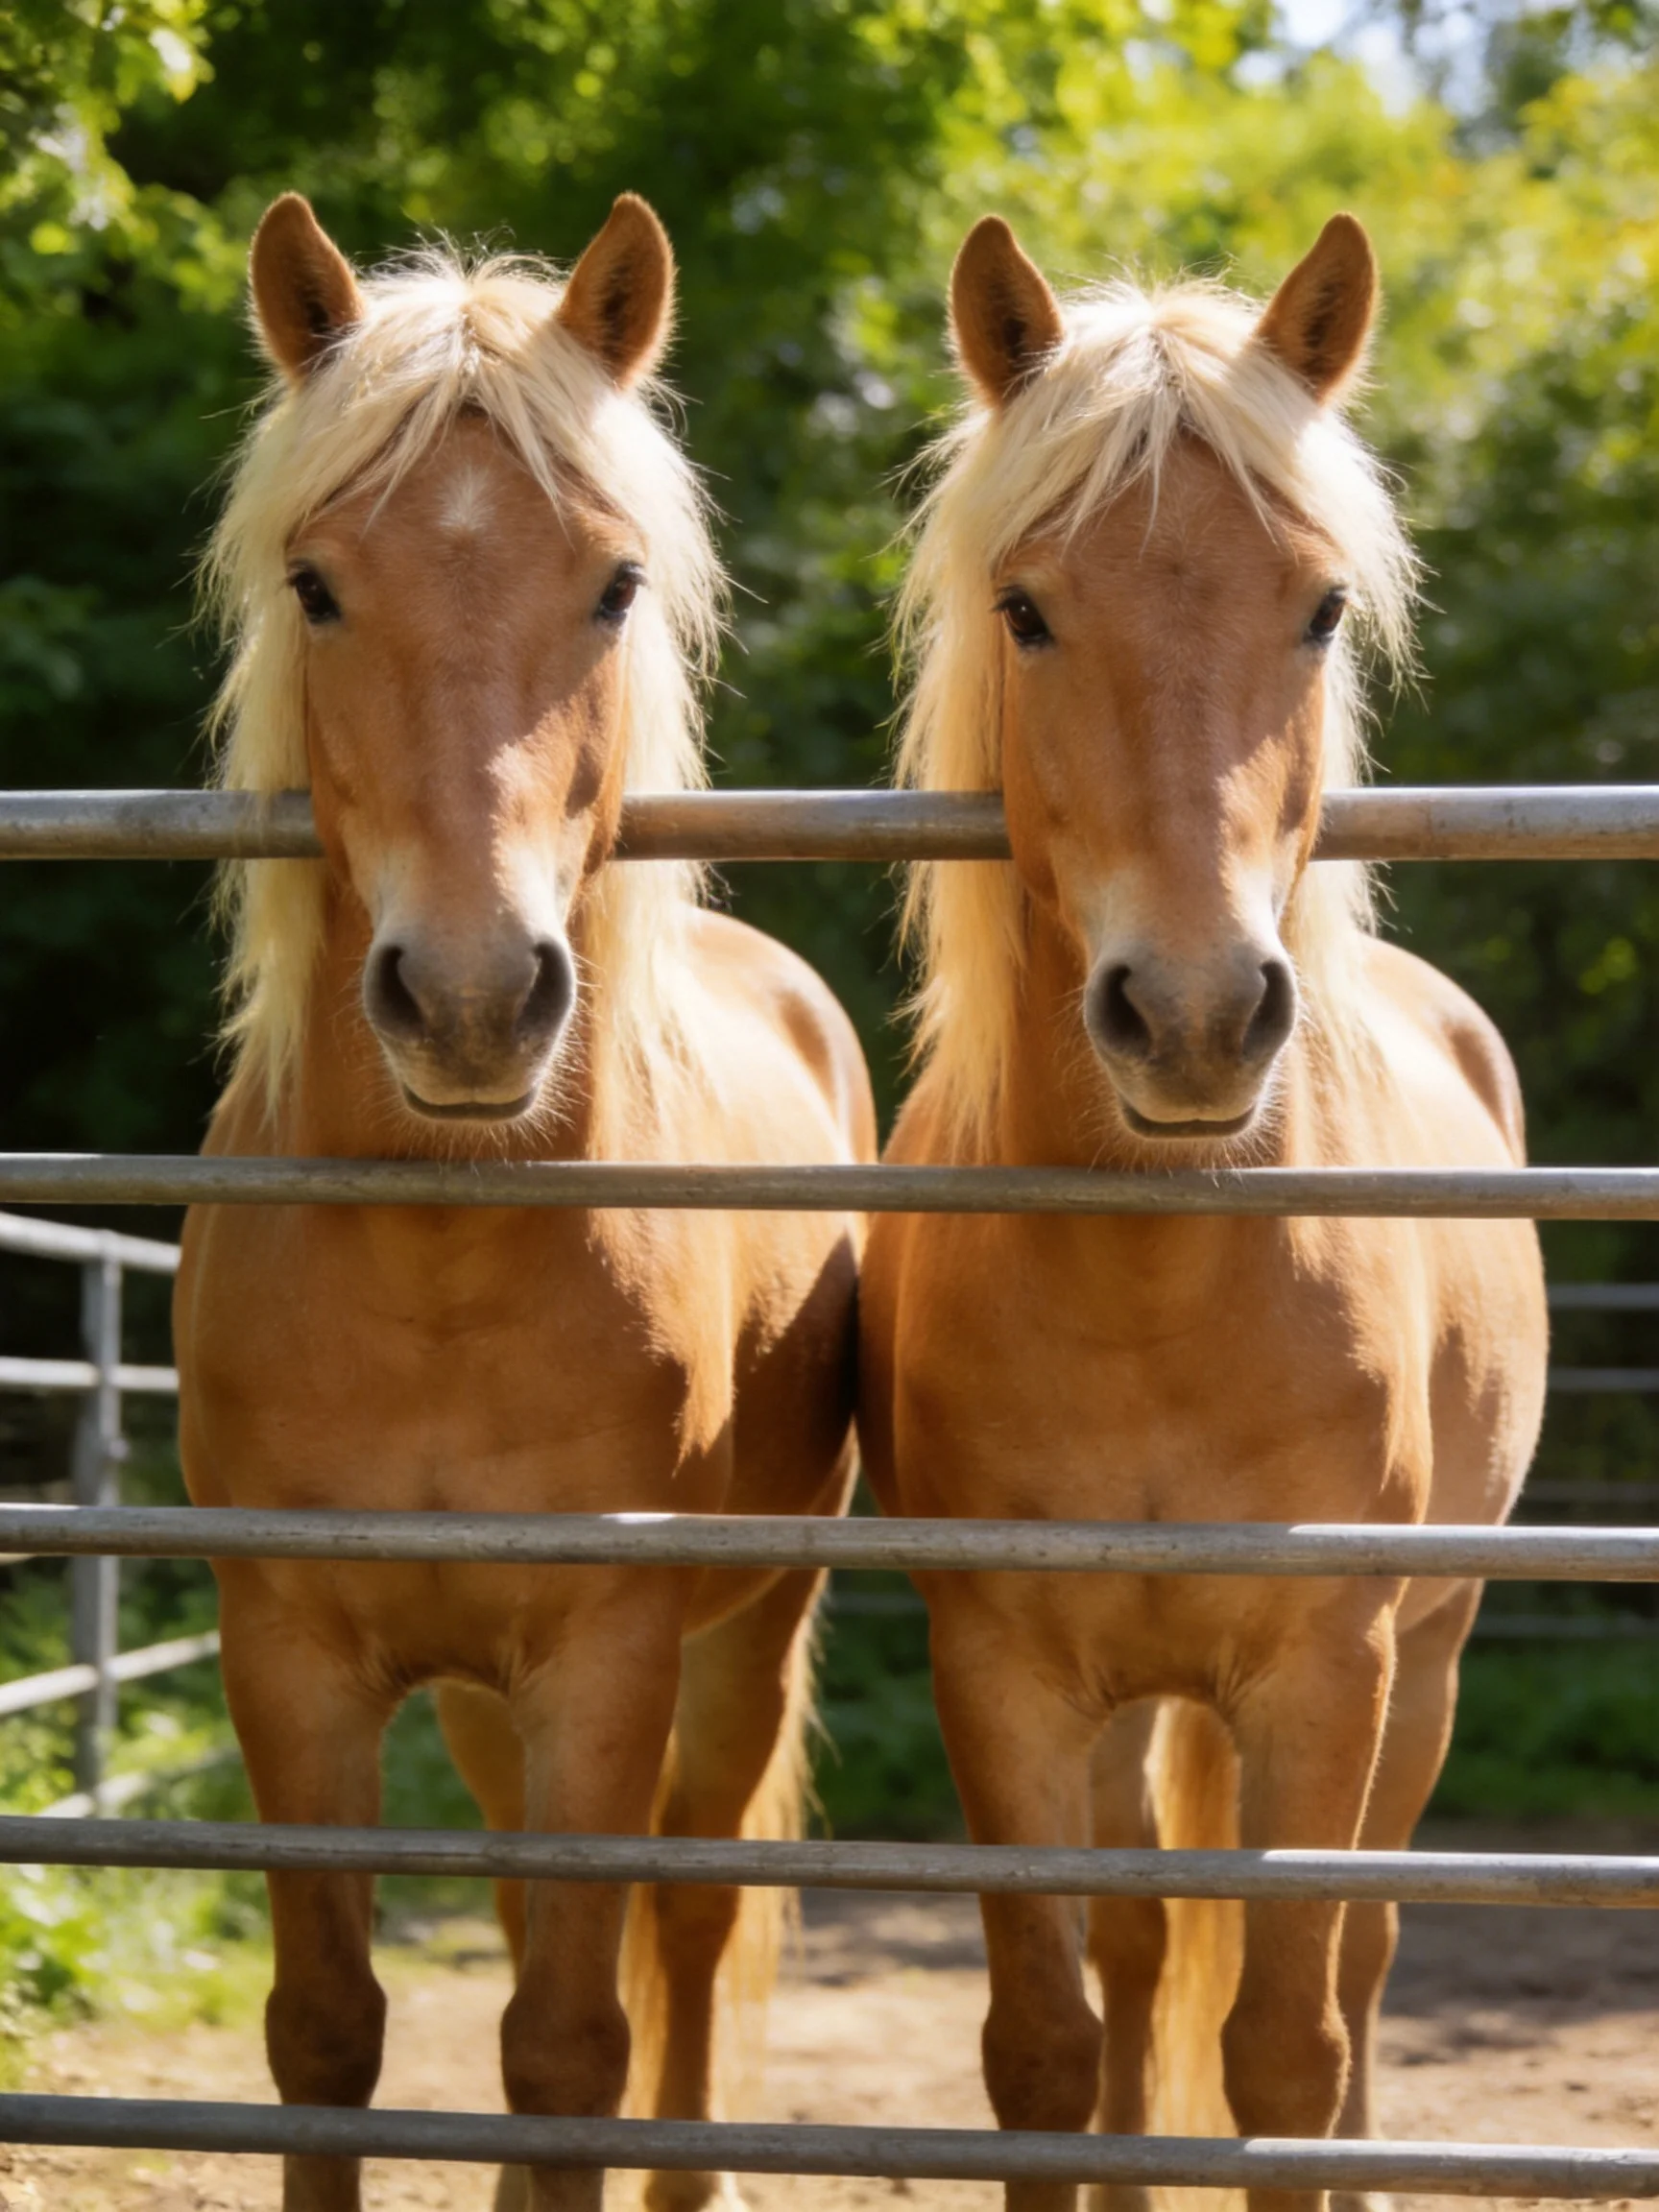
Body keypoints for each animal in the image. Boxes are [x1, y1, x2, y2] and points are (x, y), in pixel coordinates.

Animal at [173, 191, 874, 2212]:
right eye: (319, 583)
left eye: (615, 585)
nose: (477, 997)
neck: (437, 1262)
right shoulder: (291, 1650)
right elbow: (326, 2033)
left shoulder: (604, 1651)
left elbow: (571, 2035)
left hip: (738, 1642)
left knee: (686, 1921)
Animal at [858, 211, 1548, 2212]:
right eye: (1025, 608)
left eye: (1315, 609)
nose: (1188, 1013)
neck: (1157, 1283)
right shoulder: (1001, 1671)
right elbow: (1049, 2037)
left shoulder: (1324, 1671)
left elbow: (1285, 2046)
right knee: (1145, 1939)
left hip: (1426, 1664)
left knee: (1360, 1962)